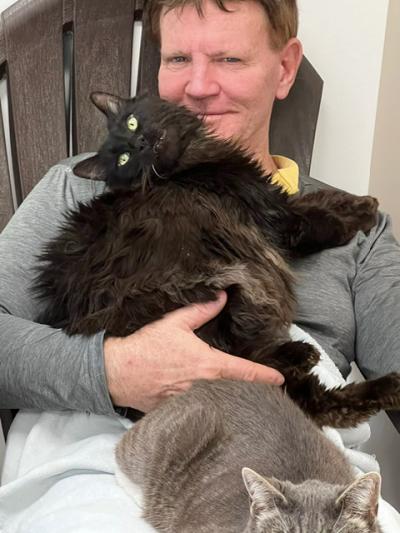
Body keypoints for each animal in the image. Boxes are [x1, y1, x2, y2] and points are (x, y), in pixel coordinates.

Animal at [34, 90, 400, 424]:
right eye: (123, 160)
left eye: (132, 122)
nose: (138, 144)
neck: (191, 158)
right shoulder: (276, 220)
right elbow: (324, 221)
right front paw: (365, 214)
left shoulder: (275, 201)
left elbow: (320, 199)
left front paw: (361, 201)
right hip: (224, 288)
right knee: (262, 366)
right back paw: (308, 355)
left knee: (315, 400)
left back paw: (378, 383)